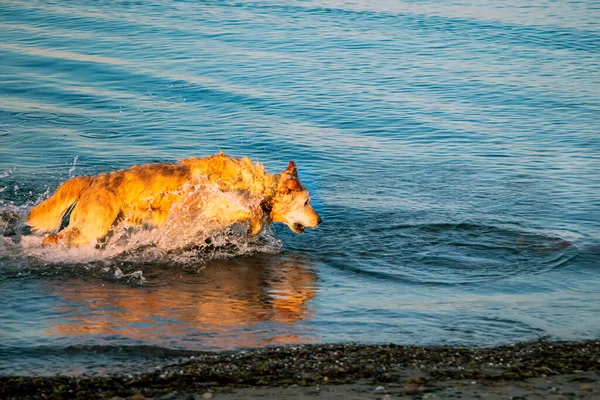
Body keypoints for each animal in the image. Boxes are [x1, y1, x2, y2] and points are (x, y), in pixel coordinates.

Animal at [27, 153, 322, 247]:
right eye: (306, 202)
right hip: (92, 227)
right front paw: (255, 226)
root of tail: (92, 180)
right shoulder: (216, 199)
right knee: (53, 238)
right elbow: (252, 211)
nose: (320, 220)